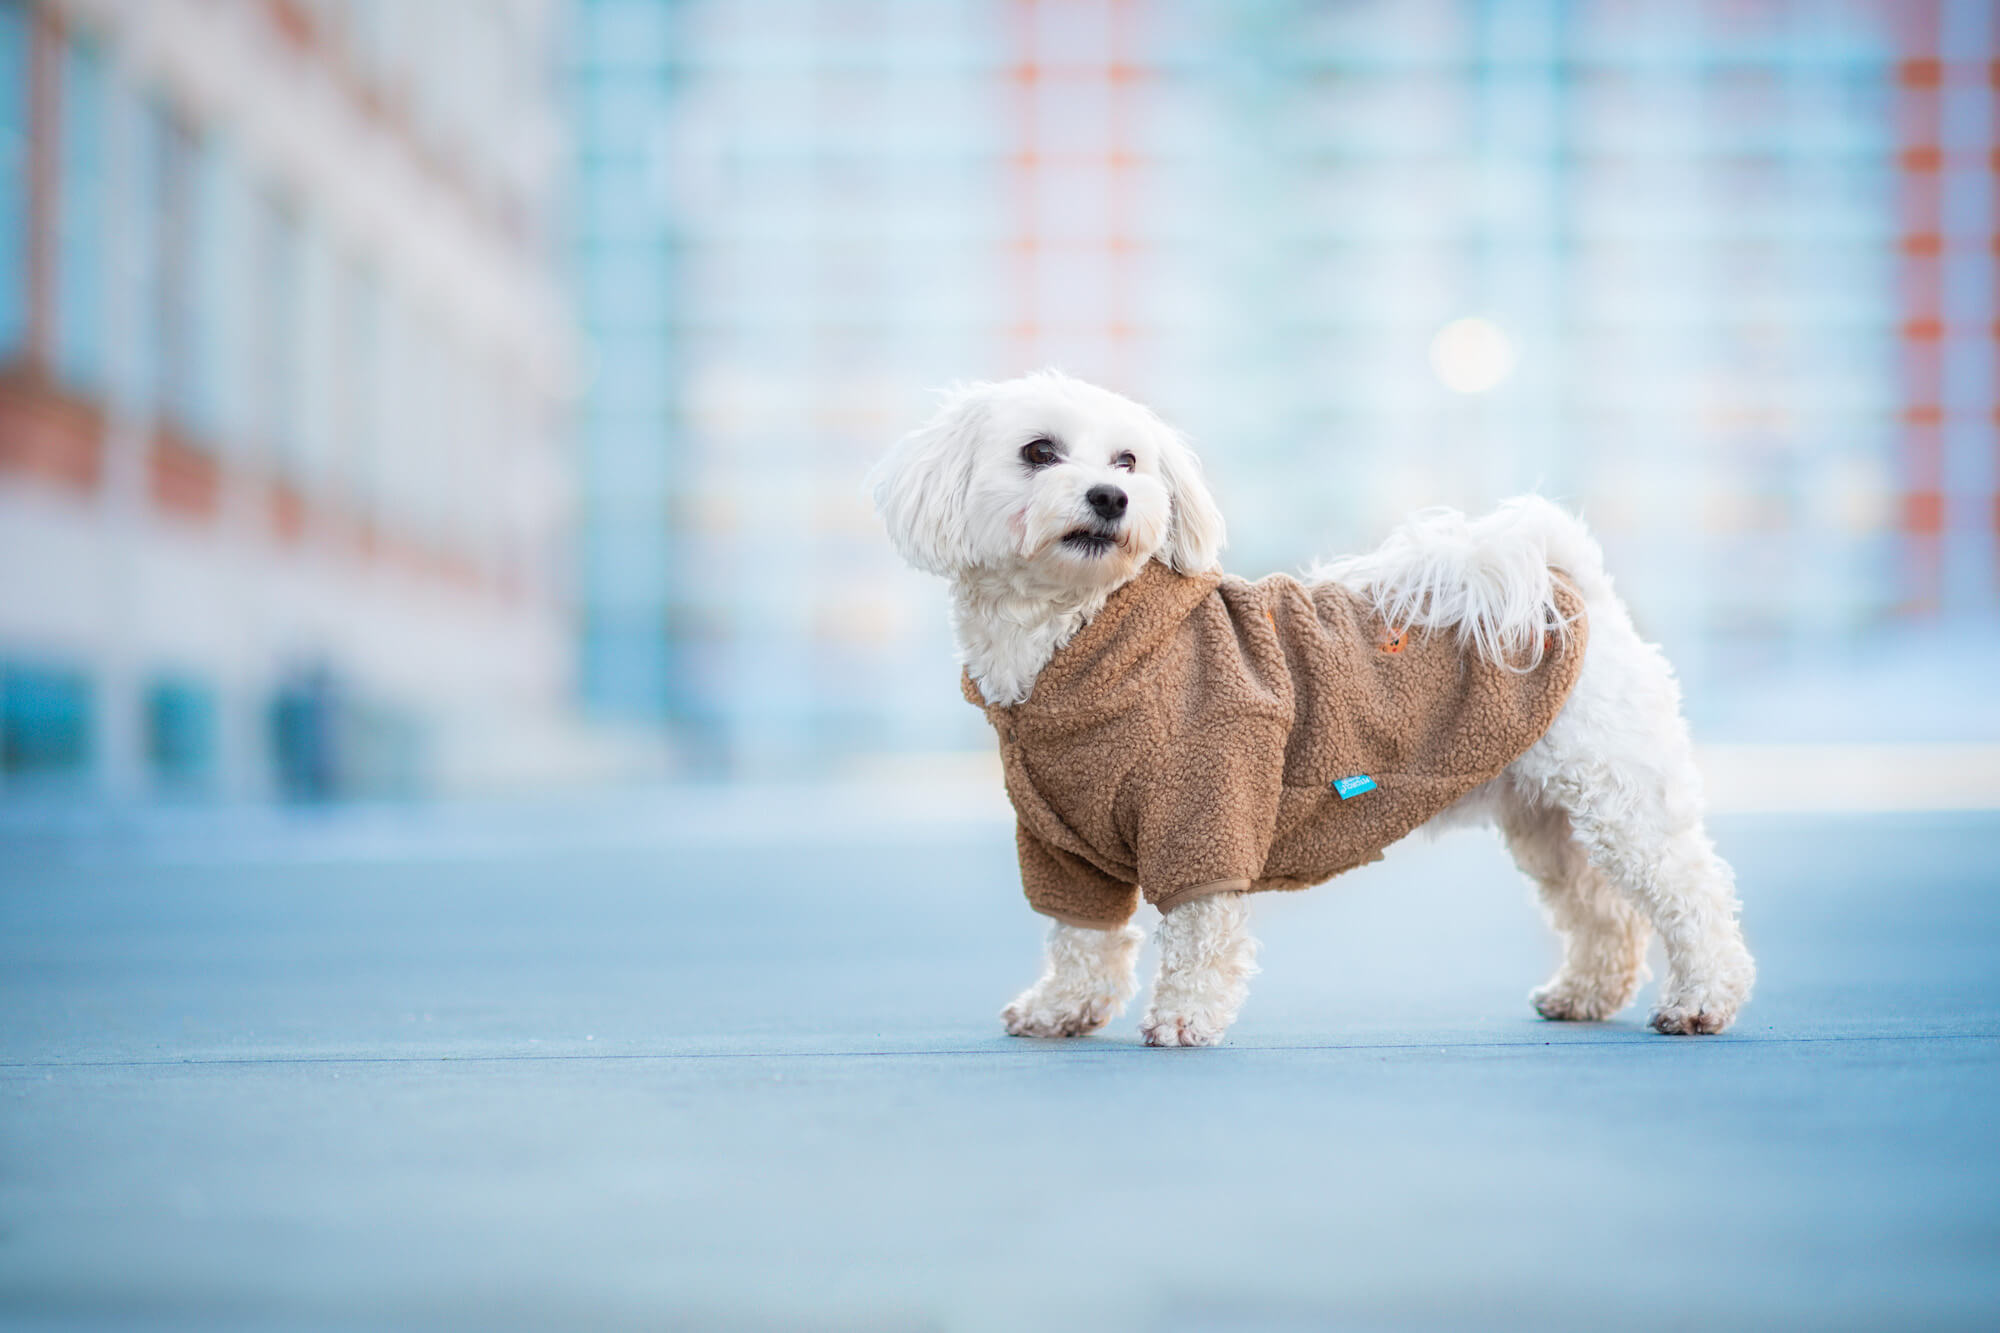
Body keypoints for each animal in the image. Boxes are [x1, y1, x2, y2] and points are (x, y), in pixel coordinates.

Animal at [868, 368, 1760, 1040]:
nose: (1109, 498)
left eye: (1128, 461)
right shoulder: (1060, 839)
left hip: (1621, 794)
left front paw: (1186, 1017)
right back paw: (1585, 994)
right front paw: (1062, 1009)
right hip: (1546, 814)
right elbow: (1082, 936)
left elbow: (1199, 930)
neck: (1080, 631)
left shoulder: (1207, 802)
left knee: (1692, 893)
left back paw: (1702, 1000)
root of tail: (1571, 585)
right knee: (1601, 909)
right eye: (1038, 451)